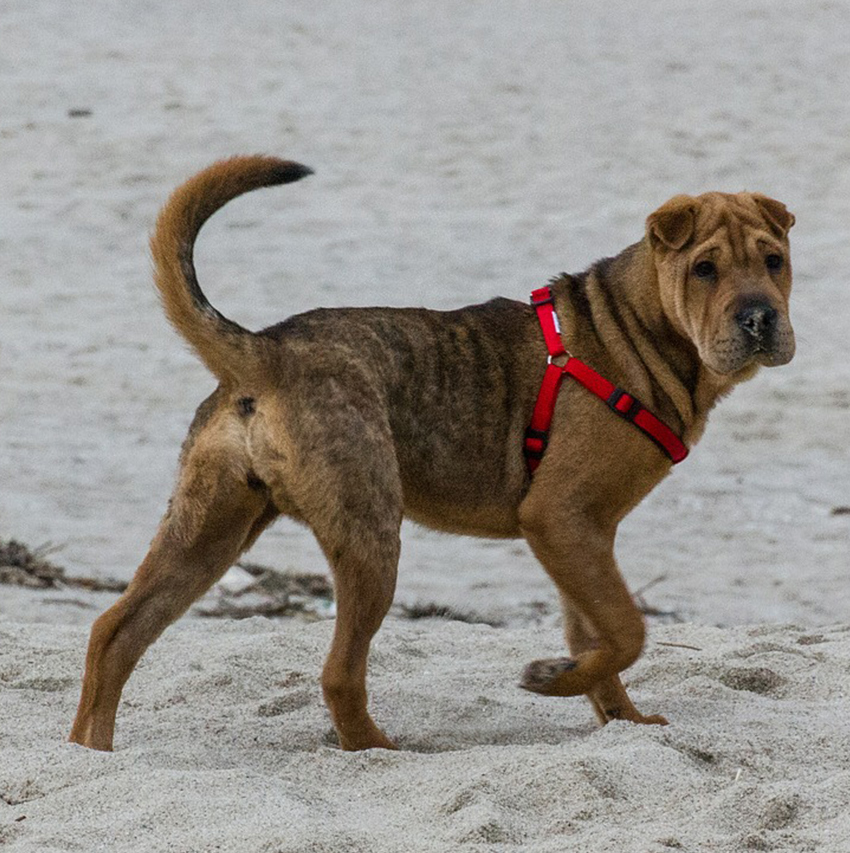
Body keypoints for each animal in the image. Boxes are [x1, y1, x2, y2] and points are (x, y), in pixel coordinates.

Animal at [69, 156, 792, 748]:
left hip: (208, 531)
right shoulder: (561, 518)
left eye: (774, 261)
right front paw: (557, 680)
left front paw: (618, 718)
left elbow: (600, 637)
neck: (638, 330)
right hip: (368, 536)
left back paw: (90, 752)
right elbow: (627, 630)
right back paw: (380, 751)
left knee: (114, 631)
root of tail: (267, 351)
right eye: (704, 269)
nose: (760, 317)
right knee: (338, 673)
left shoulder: (584, 536)